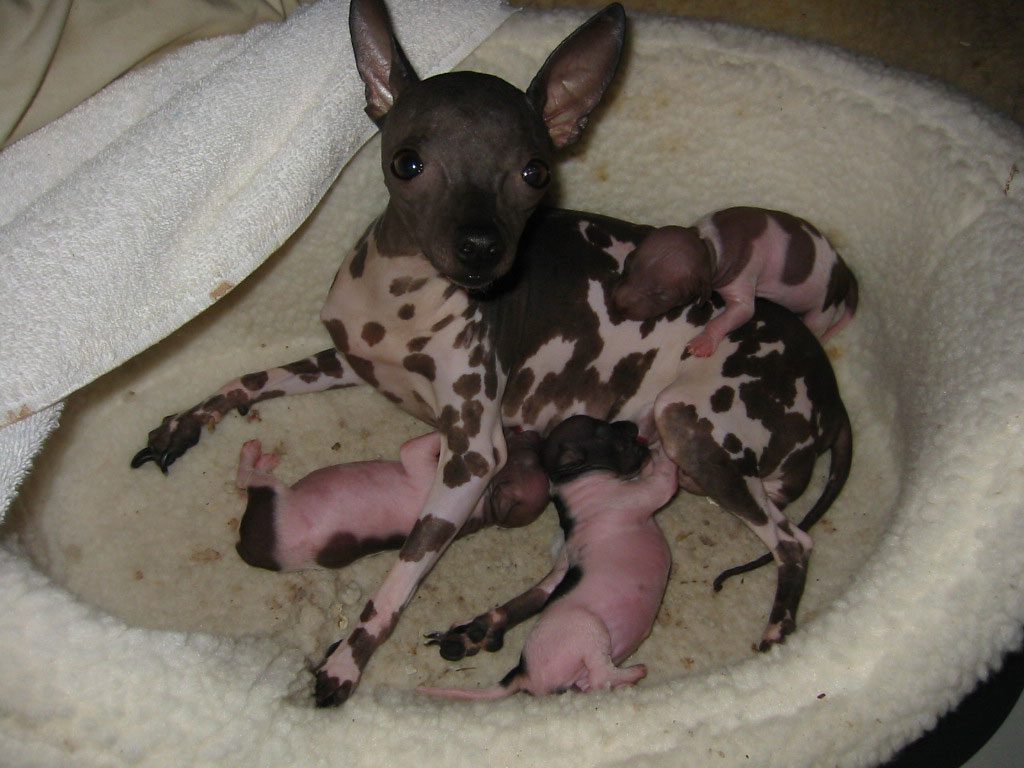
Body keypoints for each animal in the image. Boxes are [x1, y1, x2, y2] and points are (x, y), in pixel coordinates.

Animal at [233, 430, 552, 573]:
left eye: (524, 461)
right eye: (531, 456)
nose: (532, 434)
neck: (486, 508)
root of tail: (247, 549)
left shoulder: (421, 468)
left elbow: (412, 448)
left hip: (272, 498)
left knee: (246, 480)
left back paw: (253, 457)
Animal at [419, 417, 675, 700]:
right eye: (605, 433)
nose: (632, 425)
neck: (571, 481)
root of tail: (522, 673)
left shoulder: (561, 566)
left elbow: (545, 587)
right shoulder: (637, 496)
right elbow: (664, 481)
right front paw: (663, 449)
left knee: (592, 684)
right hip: (589, 627)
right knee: (601, 677)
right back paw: (634, 673)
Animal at [610, 207, 860, 358]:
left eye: (663, 296)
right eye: (628, 265)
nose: (617, 305)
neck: (709, 244)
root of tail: (843, 270)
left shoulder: (742, 277)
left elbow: (742, 311)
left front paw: (704, 341)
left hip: (824, 308)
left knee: (816, 323)